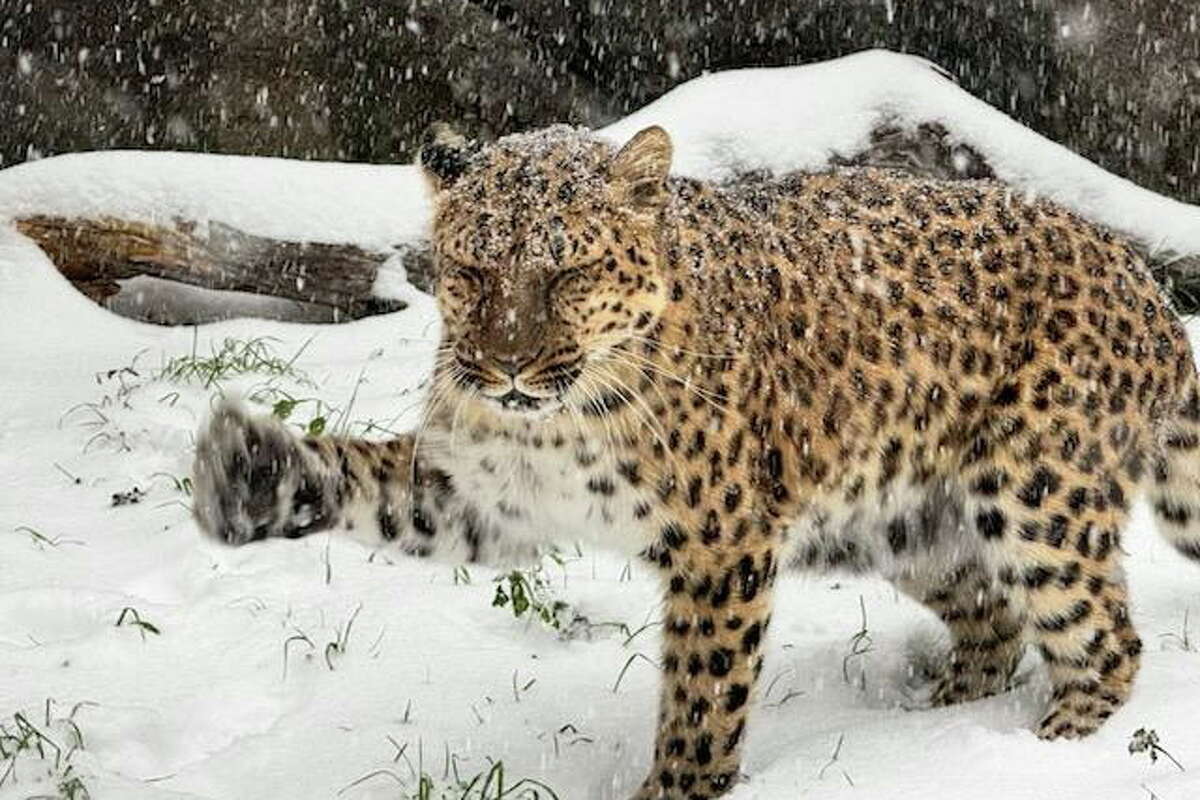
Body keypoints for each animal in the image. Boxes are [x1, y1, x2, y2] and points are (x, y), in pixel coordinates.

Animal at [192, 122, 1200, 796]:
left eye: (567, 271)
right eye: (473, 271)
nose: (507, 365)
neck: (560, 420)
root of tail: (1147, 285)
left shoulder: (723, 544)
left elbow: (702, 697)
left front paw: (675, 788)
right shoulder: (478, 490)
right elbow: (367, 480)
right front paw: (252, 473)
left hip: (1038, 492)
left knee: (1102, 639)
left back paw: (1044, 753)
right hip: (904, 523)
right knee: (992, 620)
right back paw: (921, 732)